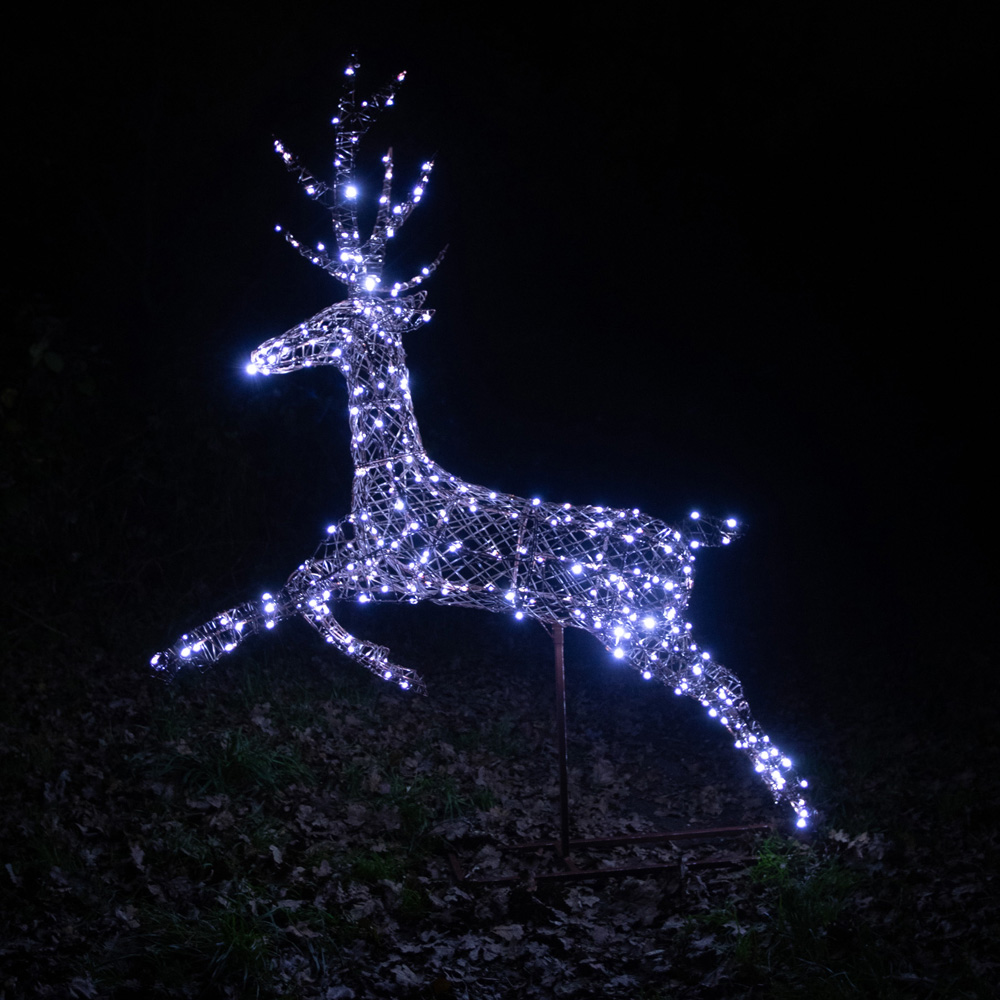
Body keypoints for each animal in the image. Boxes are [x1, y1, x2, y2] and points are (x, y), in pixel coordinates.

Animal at [150, 64, 811, 829]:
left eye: (337, 315)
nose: (261, 355)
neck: (383, 477)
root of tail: (692, 542)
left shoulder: (387, 566)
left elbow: (298, 592)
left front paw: (389, 668)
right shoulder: (369, 562)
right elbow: (283, 593)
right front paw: (180, 655)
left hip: (640, 626)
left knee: (724, 684)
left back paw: (796, 806)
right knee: (724, 683)